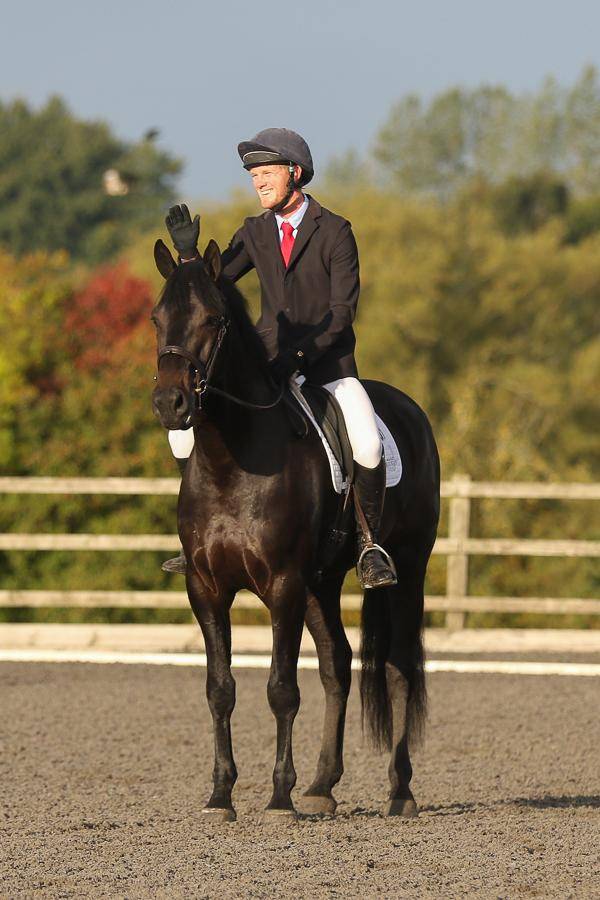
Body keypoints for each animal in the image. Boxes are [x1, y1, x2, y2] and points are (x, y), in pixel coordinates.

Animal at [151, 237, 440, 821]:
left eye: (213, 319)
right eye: (156, 318)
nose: (171, 404)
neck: (231, 460)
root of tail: (411, 411)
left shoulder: (282, 584)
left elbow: (281, 687)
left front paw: (279, 796)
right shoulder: (205, 588)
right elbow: (220, 688)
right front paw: (221, 795)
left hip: (408, 566)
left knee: (399, 667)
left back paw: (399, 791)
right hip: (319, 584)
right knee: (338, 664)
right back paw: (322, 786)